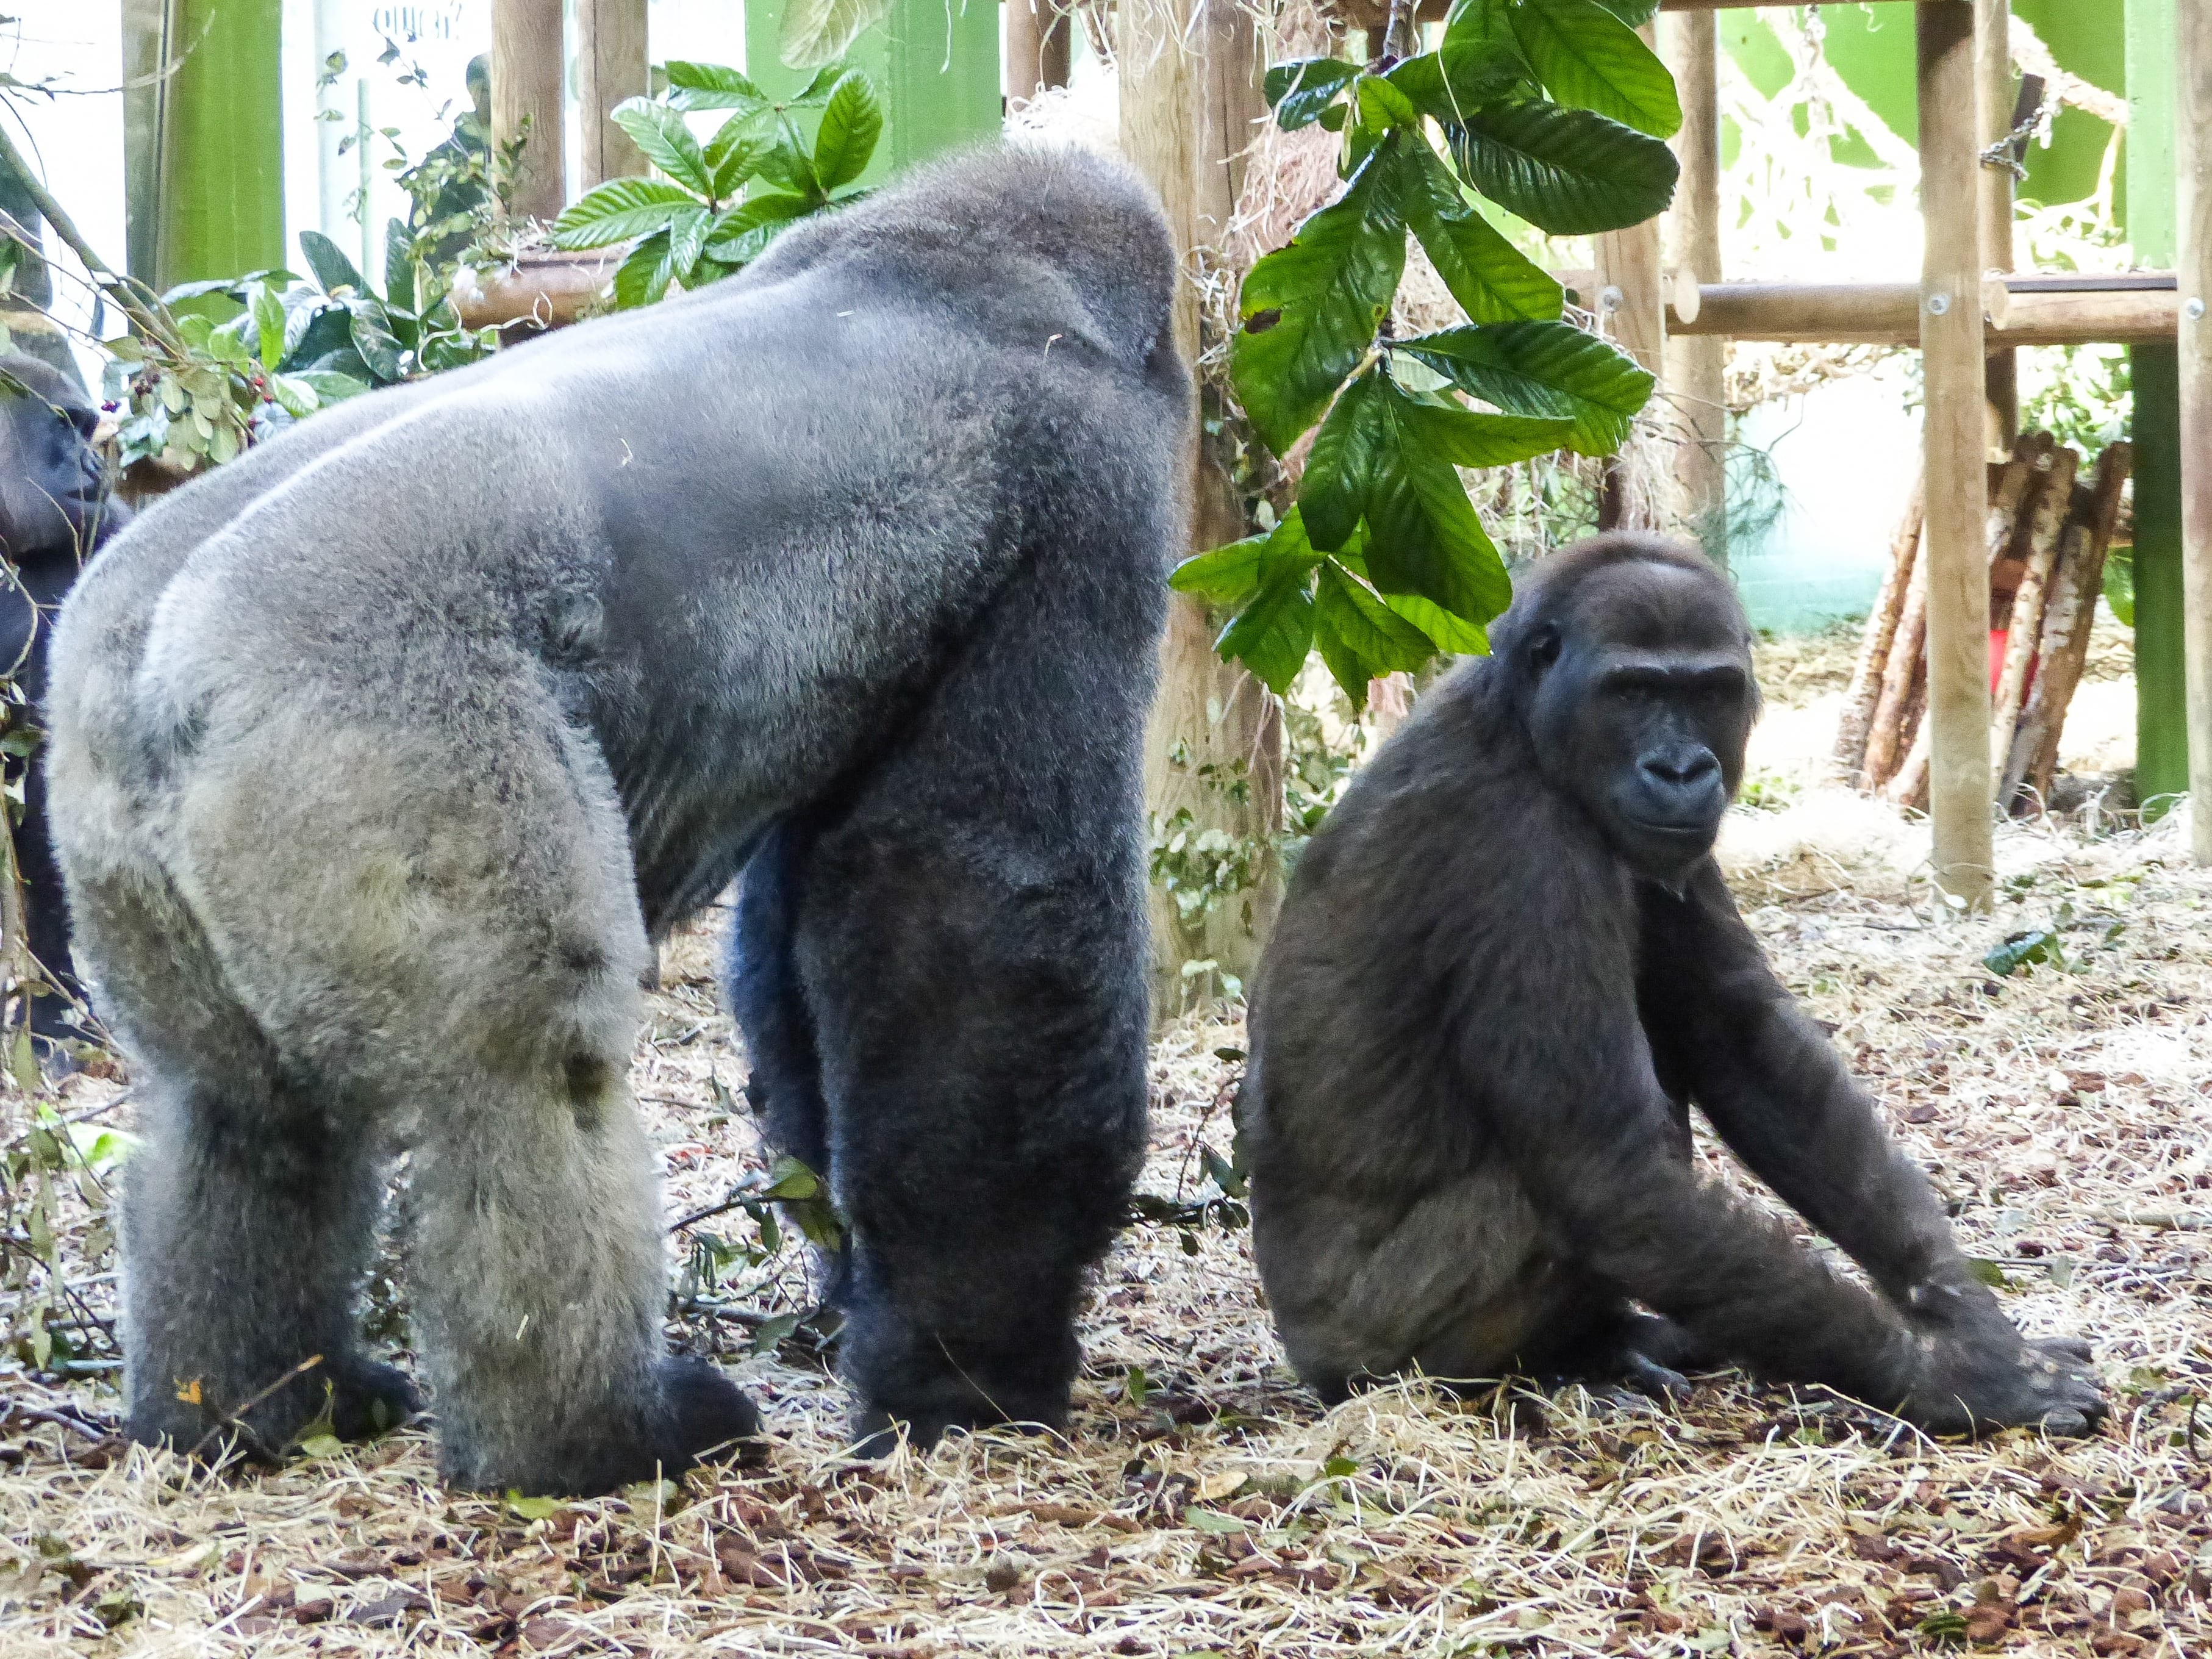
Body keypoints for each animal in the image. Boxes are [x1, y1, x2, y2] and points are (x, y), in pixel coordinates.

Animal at [47, 146, 1194, 1495]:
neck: (957, 258)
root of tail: (154, 656)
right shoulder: (1077, 488)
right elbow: (985, 909)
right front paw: (970, 1378)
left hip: (116, 814)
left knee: (228, 1103)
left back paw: (258, 1406)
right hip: (380, 709)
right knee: (527, 1072)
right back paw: (595, 1437)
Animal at [1247, 535, 2105, 1442]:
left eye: (1707, 692)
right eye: (1631, 691)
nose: (1680, 767)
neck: (1520, 724)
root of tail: (1304, 1355)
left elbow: (1738, 1040)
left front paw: (1961, 1314)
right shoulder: (1521, 843)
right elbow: (1609, 1172)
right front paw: (1952, 1375)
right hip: (1380, 1354)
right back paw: (1550, 1364)